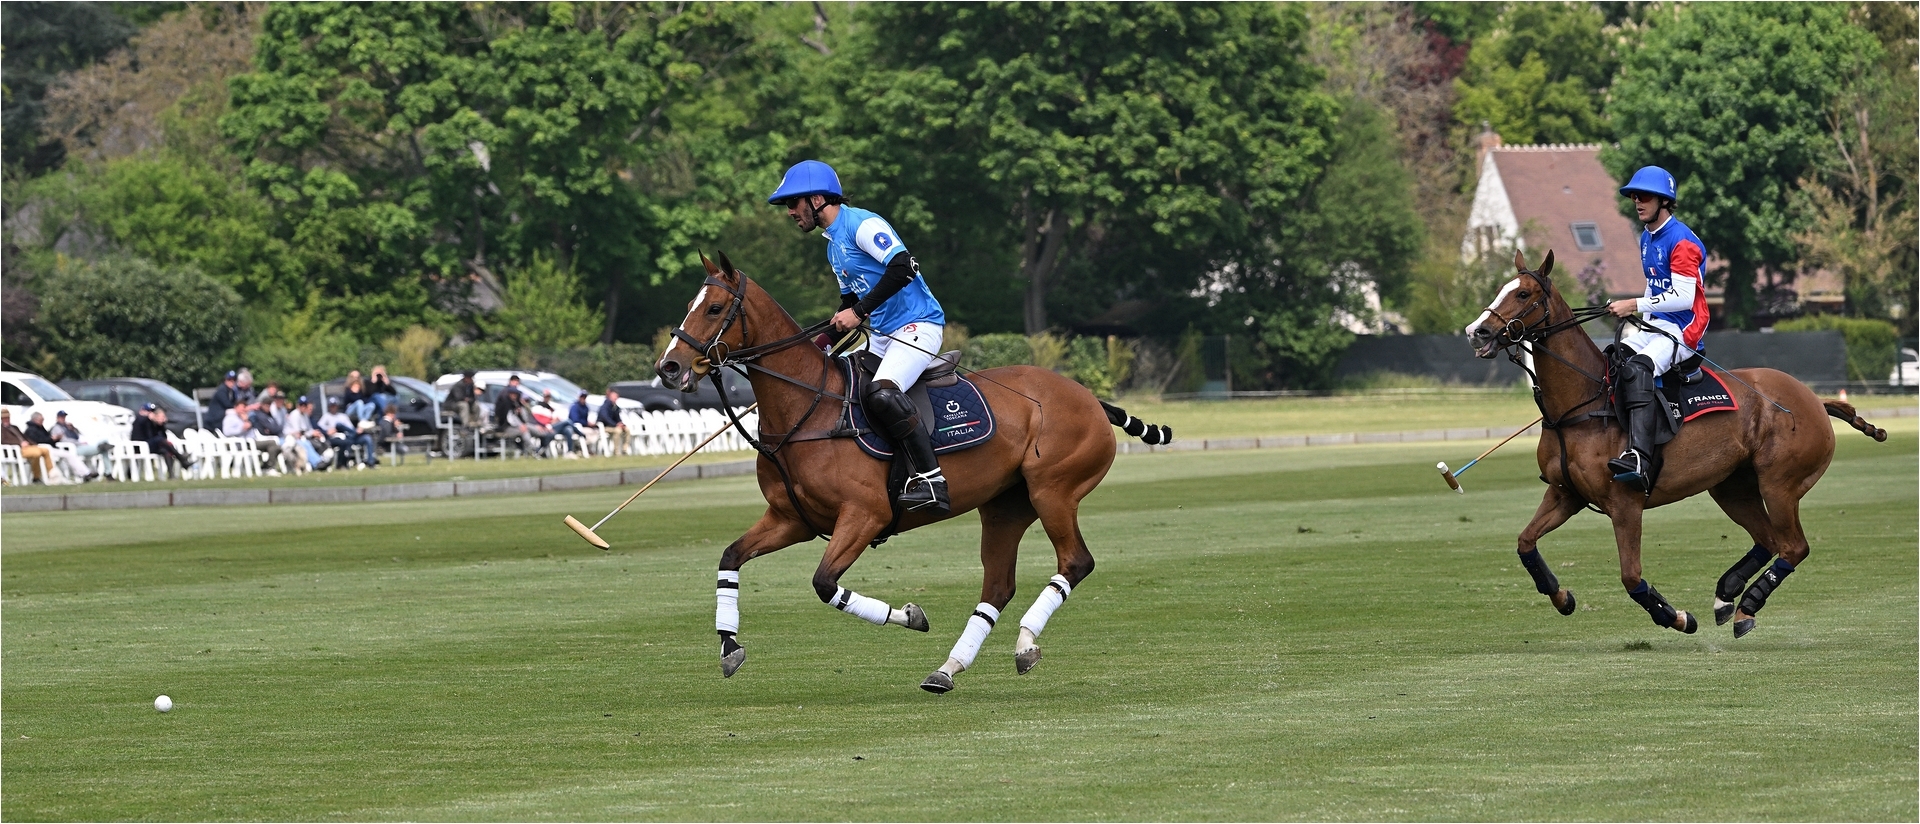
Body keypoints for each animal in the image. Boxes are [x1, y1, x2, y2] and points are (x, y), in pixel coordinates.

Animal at [654, 252, 1172, 693]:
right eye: (689, 305)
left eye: (714, 307)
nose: (669, 367)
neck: (810, 407)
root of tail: (1090, 397)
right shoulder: (792, 519)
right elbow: (730, 558)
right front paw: (729, 646)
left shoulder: (864, 516)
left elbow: (825, 585)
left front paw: (910, 614)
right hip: (1005, 506)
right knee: (998, 585)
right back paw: (949, 669)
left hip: (1054, 491)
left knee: (1075, 562)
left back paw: (1023, 642)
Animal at [1465, 250, 1886, 637]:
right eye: (1502, 288)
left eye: (1523, 293)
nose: (1476, 332)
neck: (1582, 403)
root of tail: (1814, 399)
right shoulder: (1564, 493)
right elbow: (1525, 543)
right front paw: (1562, 596)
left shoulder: (1625, 505)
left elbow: (1631, 577)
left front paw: (1677, 617)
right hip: (1732, 486)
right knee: (1769, 540)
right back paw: (1727, 594)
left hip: (1780, 484)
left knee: (1793, 546)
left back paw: (1746, 605)